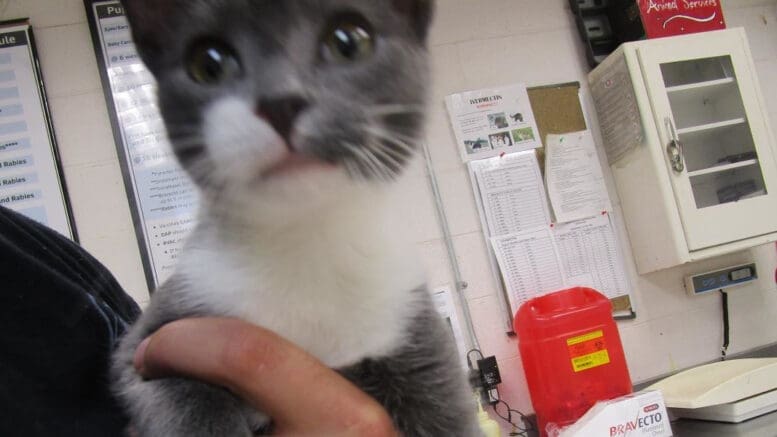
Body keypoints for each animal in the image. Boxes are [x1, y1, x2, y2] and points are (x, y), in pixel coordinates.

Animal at [110, 1, 478, 434]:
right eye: (208, 63)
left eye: (349, 41)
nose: (279, 102)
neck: (305, 242)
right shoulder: (153, 340)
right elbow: (177, 392)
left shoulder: (413, 329)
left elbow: (444, 409)